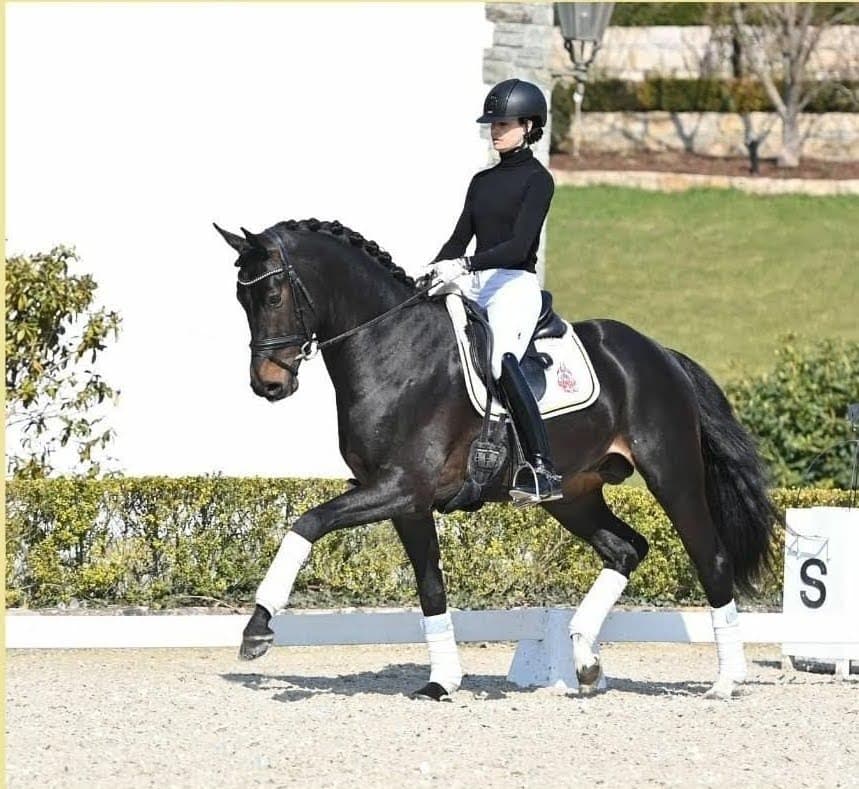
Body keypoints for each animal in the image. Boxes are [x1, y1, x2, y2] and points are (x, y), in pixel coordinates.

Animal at [214, 217, 779, 700]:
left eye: (271, 294)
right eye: (240, 298)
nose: (269, 384)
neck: (391, 348)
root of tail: (660, 355)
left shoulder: (402, 486)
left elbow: (307, 523)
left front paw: (258, 627)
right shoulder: (406, 502)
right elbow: (431, 588)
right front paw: (442, 681)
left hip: (672, 475)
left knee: (712, 558)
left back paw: (726, 681)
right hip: (571, 495)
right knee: (626, 549)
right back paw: (584, 659)